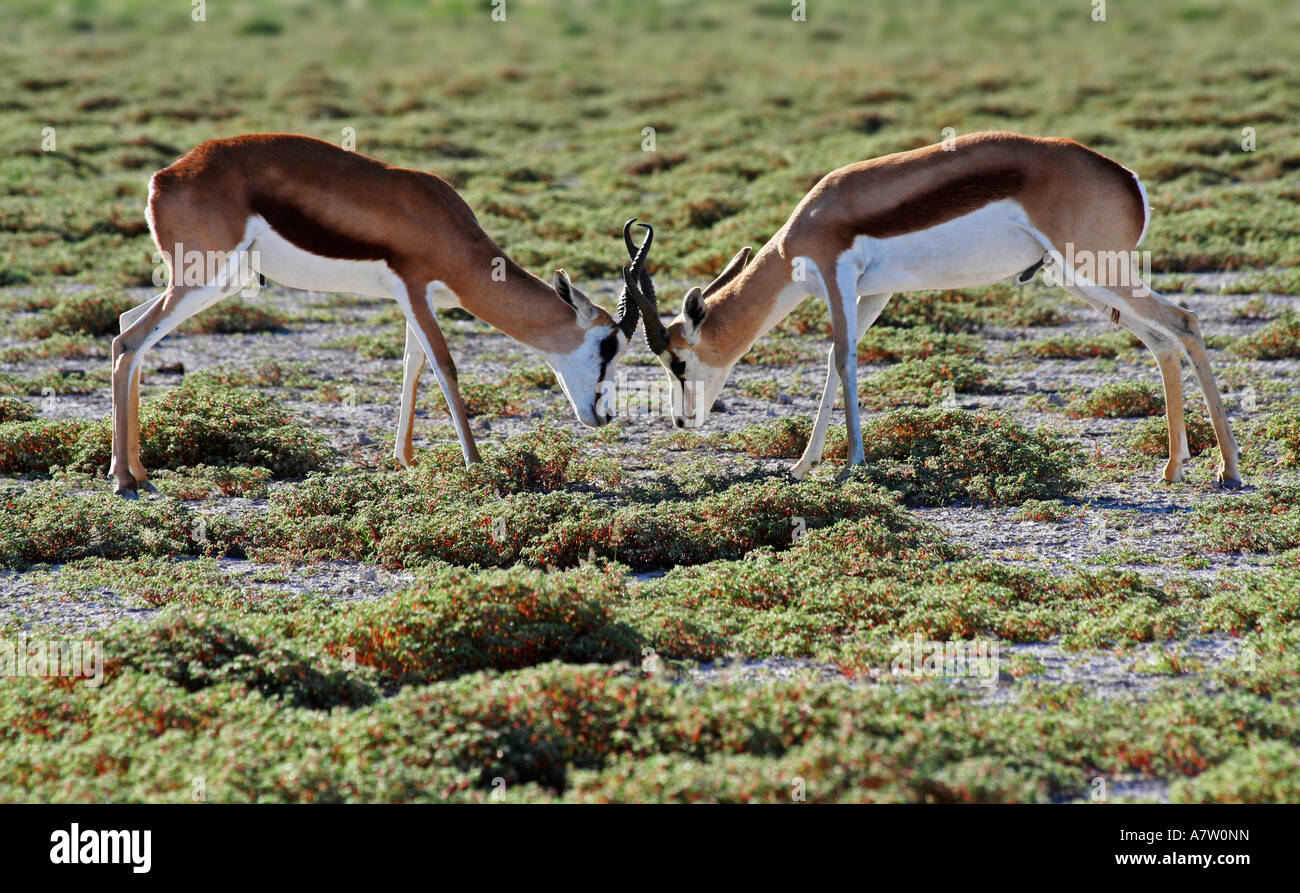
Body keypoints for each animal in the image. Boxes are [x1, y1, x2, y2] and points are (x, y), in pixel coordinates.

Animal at [113, 131, 655, 496]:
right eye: (609, 344)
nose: (605, 415)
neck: (444, 226)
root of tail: (164, 178)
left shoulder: (416, 302)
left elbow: (413, 366)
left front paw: (406, 460)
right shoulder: (414, 290)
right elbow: (445, 368)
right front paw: (478, 467)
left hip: (217, 282)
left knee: (126, 325)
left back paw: (140, 472)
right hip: (202, 277)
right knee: (128, 342)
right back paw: (123, 480)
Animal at [634, 131, 1242, 488]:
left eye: (678, 361)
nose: (681, 420)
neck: (806, 226)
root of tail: (1127, 179)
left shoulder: (836, 278)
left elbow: (845, 360)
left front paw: (853, 464)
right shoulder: (873, 293)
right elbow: (834, 362)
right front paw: (805, 463)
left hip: (1097, 271)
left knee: (1186, 323)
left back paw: (1228, 471)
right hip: (1081, 281)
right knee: (1162, 341)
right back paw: (1173, 467)